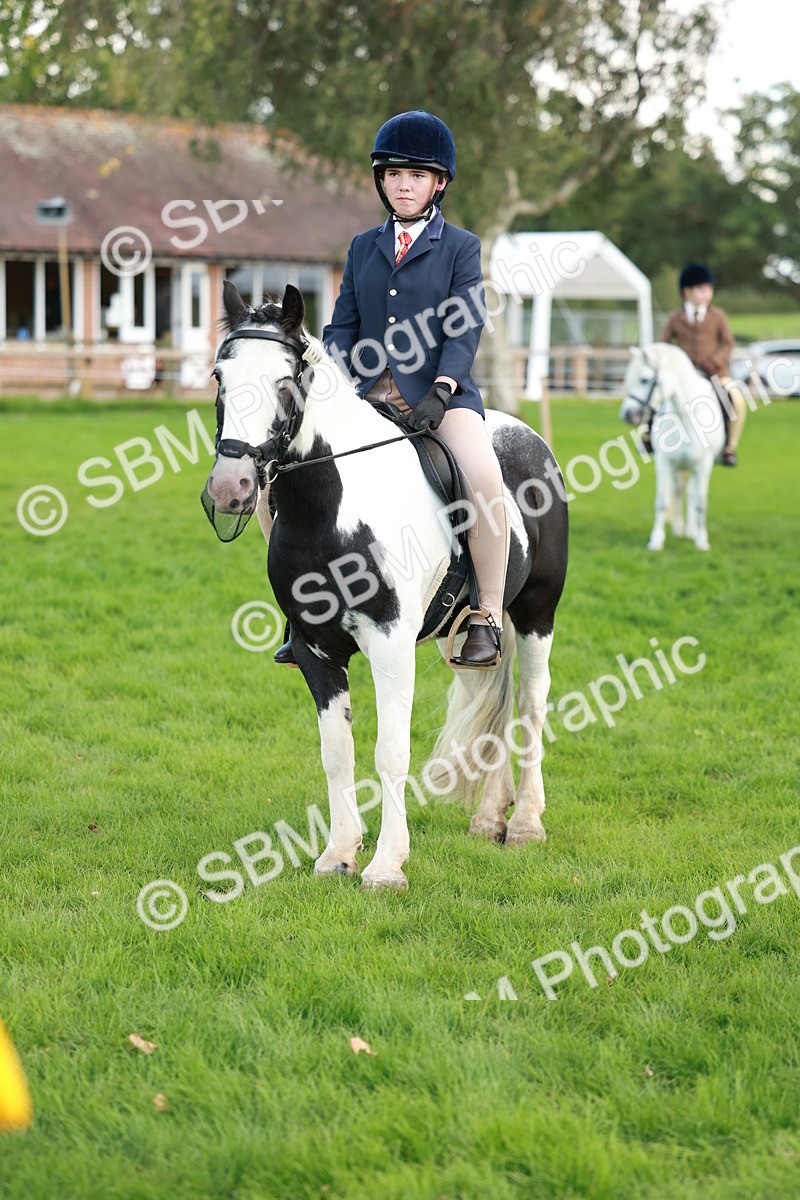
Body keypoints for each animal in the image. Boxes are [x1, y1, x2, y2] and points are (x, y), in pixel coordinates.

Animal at [201, 282, 568, 890]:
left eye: (284, 381)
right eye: (218, 377)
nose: (231, 488)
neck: (332, 507)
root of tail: (527, 434)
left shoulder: (392, 644)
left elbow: (391, 752)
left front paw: (386, 865)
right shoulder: (316, 650)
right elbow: (337, 753)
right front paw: (338, 854)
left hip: (538, 611)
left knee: (530, 703)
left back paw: (525, 825)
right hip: (470, 632)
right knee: (495, 691)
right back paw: (490, 818)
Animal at [620, 343, 726, 552]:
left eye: (644, 379)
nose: (627, 414)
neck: (684, 417)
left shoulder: (703, 466)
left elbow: (700, 503)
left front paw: (702, 541)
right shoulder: (665, 463)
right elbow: (662, 502)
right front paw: (656, 540)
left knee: (692, 494)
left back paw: (691, 531)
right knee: (678, 491)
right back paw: (679, 528)